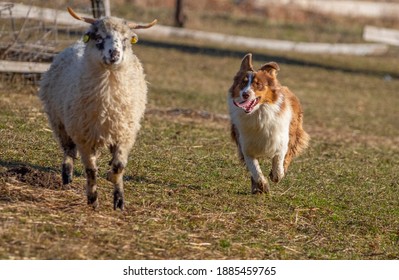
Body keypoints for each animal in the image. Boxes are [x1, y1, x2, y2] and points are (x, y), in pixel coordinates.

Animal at [39, 7, 157, 210]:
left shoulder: (125, 134)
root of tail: (78, 44)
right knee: (68, 151)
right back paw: (67, 175)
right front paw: (92, 199)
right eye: (99, 37)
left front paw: (118, 197)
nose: (114, 54)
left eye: (126, 39)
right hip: (60, 123)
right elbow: (90, 170)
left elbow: (119, 166)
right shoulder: (84, 137)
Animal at [228, 54, 310, 195]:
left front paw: (276, 175)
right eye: (243, 82)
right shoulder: (246, 146)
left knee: (289, 154)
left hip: (294, 132)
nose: (245, 94)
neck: (258, 114)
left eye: (258, 84)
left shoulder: (281, 140)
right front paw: (262, 185)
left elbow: (279, 160)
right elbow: (254, 169)